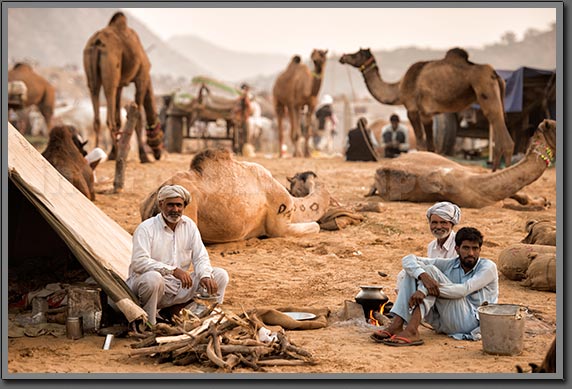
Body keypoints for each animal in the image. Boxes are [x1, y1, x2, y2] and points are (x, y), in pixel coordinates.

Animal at [83, 11, 163, 162]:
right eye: (161, 133)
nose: (158, 154)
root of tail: (97, 43)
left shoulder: (120, 84)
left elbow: (119, 117)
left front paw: (113, 153)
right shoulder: (142, 77)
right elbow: (138, 118)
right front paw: (144, 157)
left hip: (91, 73)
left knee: (97, 114)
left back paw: (98, 153)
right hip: (110, 71)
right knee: (109, 116)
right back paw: (115, 154)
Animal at [340, 47, 512, 171]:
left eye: (357, 54)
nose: (343, 57)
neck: (399, 89)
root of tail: (496, 75)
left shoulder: (413, 110)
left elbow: (421, 145)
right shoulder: (428, 114)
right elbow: (431, 147)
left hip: (486, 90)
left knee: (503, 135)